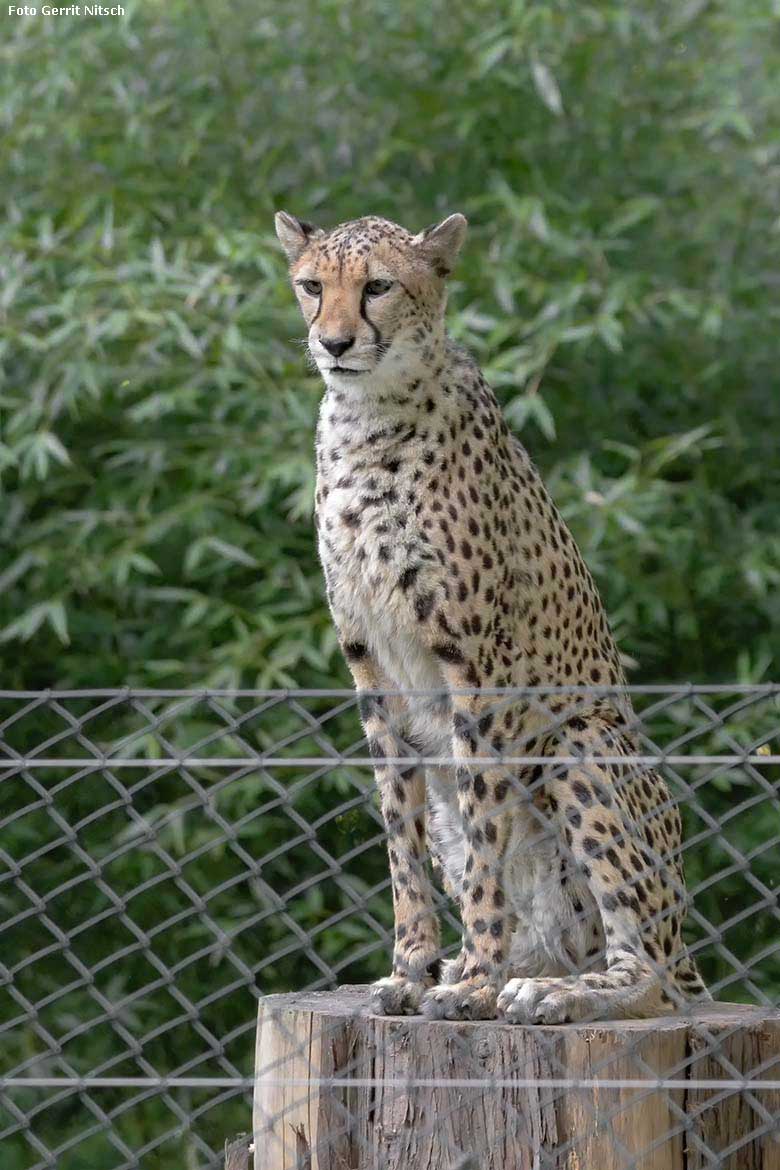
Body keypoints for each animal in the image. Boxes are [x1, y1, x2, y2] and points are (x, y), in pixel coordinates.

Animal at [274, 210, 706, 1024]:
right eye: (313, 286)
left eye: (378, 287)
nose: (334, 343)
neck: (368, 417)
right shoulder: (371, 666)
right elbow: (400, 835)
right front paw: (412, 970)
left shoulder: (474, 664)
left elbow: (484, 832)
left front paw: (472, 977)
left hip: (581, 742)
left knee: (652, 974)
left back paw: (548, 989)